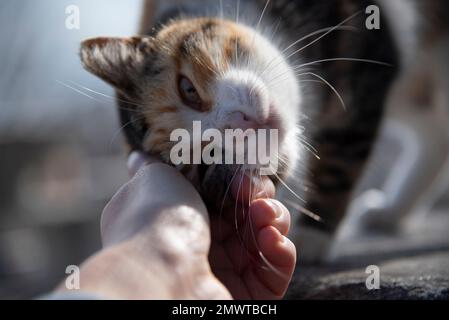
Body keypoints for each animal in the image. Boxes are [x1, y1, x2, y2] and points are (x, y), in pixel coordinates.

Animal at [79, 0, 446, 262]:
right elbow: (345, 150)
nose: (240, 124)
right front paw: (314, 236)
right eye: (206, 160)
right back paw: (390, 212)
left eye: (187, 89)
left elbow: (341, 155)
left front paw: (314, 236)